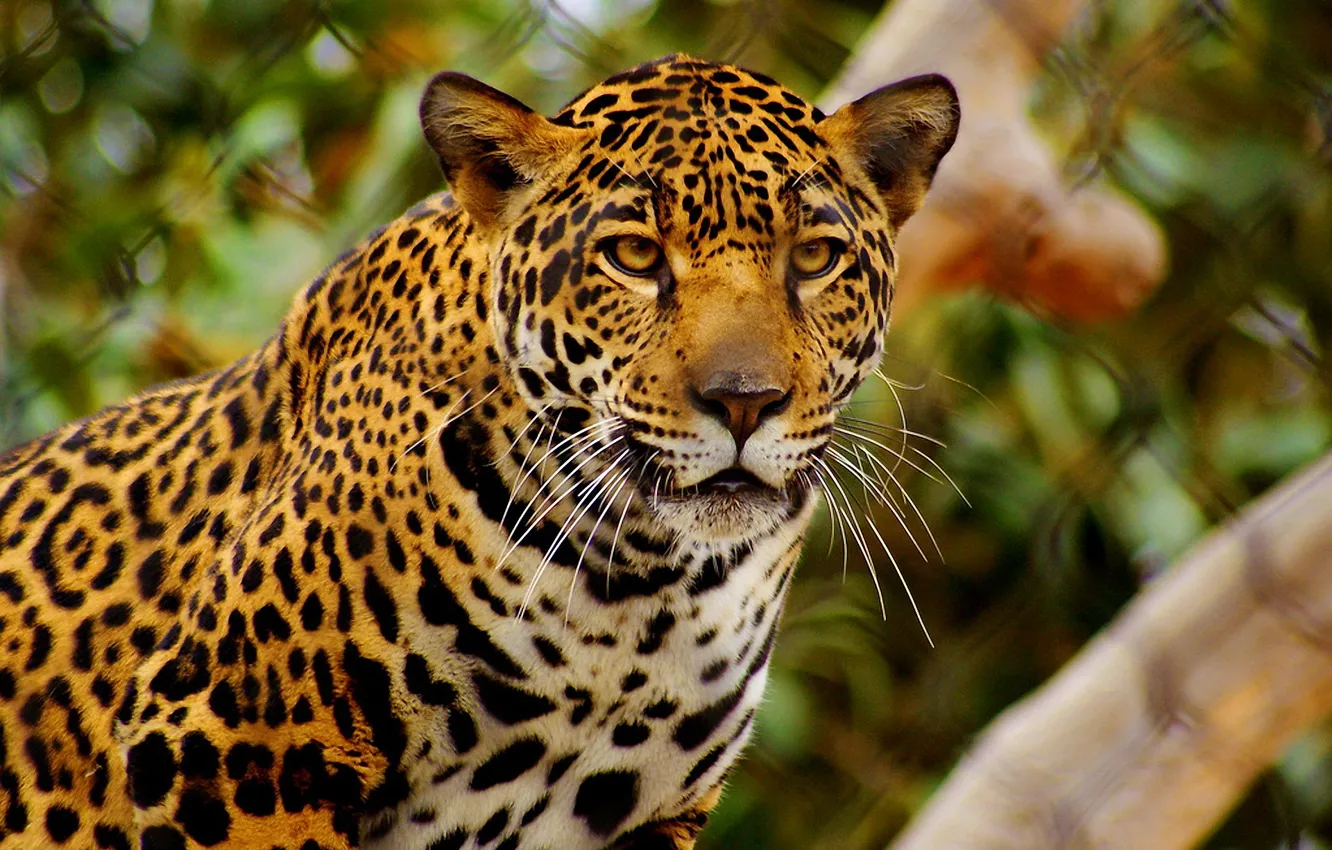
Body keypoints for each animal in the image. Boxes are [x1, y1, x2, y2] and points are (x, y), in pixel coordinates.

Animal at [0, 54, 957, 850]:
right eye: (634, 255)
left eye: (817, 257)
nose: (745, 402)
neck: (640, 590)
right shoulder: (229, 743)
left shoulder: (653, 817)